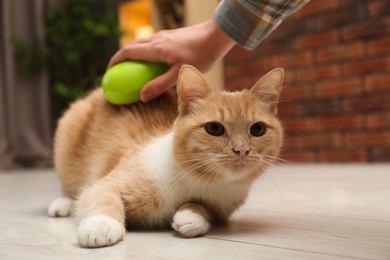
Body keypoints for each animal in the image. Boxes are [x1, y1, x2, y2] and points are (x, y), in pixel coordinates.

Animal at [48, 65, 284, 248]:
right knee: (70, 187)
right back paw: (62, 203)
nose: (242, 149)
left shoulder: (221, 207)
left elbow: (203, 208)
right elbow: (102, 197)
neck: (199, 180)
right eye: (214, 128)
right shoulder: (107, 183)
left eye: (257, 129)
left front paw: (191, 216)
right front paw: (100, 225)